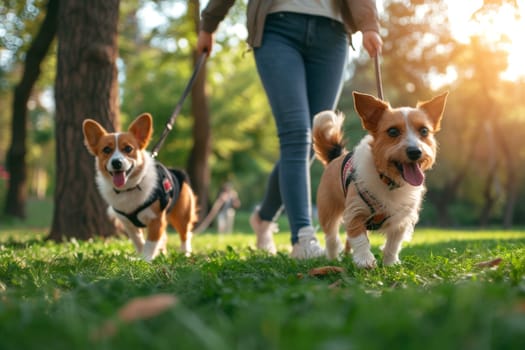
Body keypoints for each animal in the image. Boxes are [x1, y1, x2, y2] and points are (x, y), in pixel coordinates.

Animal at [82, 113, 196, 262]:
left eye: (128, 149)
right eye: (106, 150)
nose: (117, 162)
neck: (130, 188)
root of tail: (176, 171)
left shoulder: (156, 219)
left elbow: (151, 242)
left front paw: (146, 259)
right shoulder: (129, 224)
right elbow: (139, 241)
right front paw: (142, 256)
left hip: (182, 214)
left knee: (185, 234)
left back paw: (185, 253)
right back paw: (163, 254)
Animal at [312, 91, 446, 270]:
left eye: (424, 131)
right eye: (393, 132)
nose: (415, 151)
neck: (389, 181)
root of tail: (337, 155)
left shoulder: (401, 220)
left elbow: (393, 244)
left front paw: (390, 263)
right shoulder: (355, 212)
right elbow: (359, 238)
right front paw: (365, 260)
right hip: (328, 212)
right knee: (331, 238)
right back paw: (334, 259)